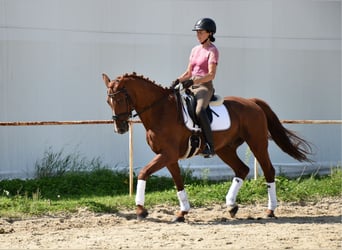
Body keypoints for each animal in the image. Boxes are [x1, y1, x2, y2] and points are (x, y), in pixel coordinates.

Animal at [102, 72, 312, 221]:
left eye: (119, 99)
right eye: (108, 101)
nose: (119, 128)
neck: (160, 111)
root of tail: (252, 102)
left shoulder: (167, 155)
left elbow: (143, 172)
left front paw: (140, 210)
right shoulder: (168, 156)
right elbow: (178, 182)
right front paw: (182, 213)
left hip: (257, 143)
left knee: (268, 170)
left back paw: (270, 210)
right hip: (225, 149)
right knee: (242, 169)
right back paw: (231, 206)